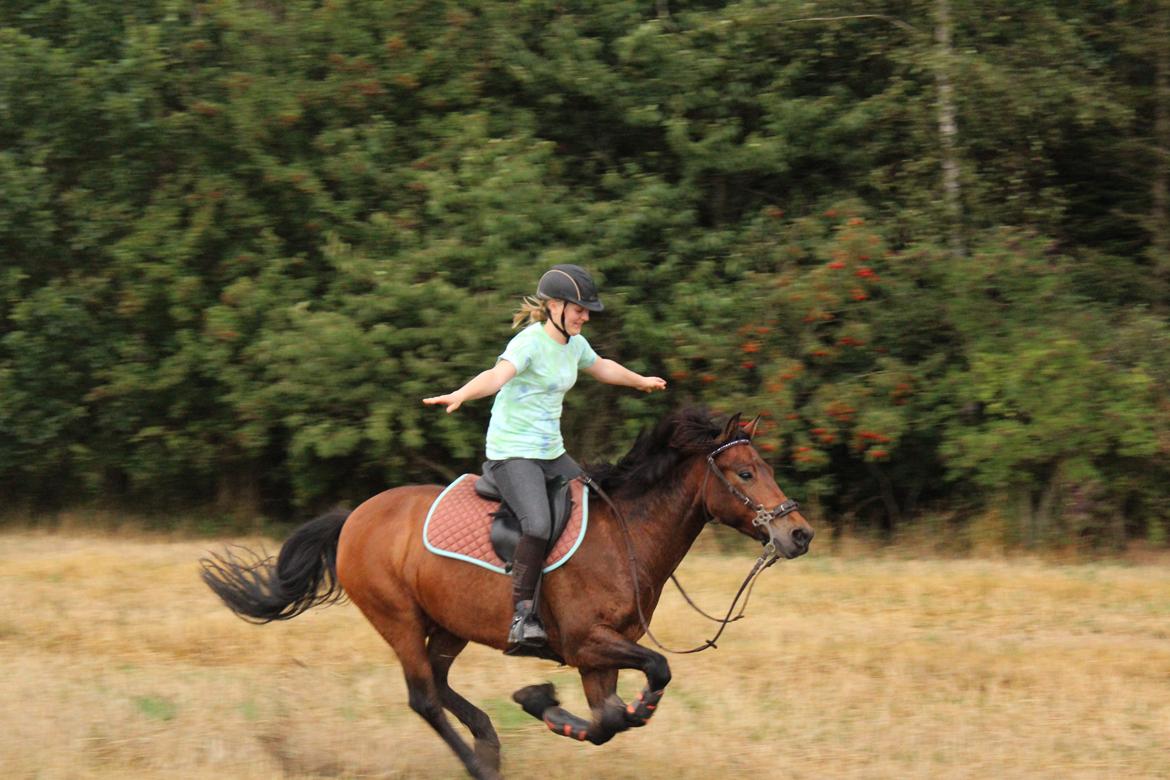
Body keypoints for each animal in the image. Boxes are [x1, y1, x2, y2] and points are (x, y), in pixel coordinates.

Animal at [201, 409, 814, 780]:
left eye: (765, 467)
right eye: (744, 473)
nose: (799, 534)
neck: (626, 536)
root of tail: (354, 517)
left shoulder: (599, 656)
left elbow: (609, 721)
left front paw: (540, 702)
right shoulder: (589, 644)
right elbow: (651, 679)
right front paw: (542, 700)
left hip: (449, 625)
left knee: (439, 683)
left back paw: (488, 741)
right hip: (398, 618)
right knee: (424, 697)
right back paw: (480, 764)